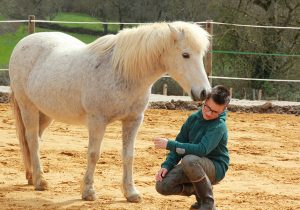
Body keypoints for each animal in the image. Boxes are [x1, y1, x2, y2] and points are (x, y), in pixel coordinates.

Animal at [8, 20, 211, 202]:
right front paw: (88, 191)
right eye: (185, 54)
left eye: (201, 55)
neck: (122, 72)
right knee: (32, 140)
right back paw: (40, 181)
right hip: (28, 107)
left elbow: (128, 156)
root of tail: (23, 43)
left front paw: (131, 193)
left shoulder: (133, 120)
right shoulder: (97, 121)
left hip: (45, 113)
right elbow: (93, 154)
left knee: (33, 140)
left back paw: (32, 176)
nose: (204, 92)